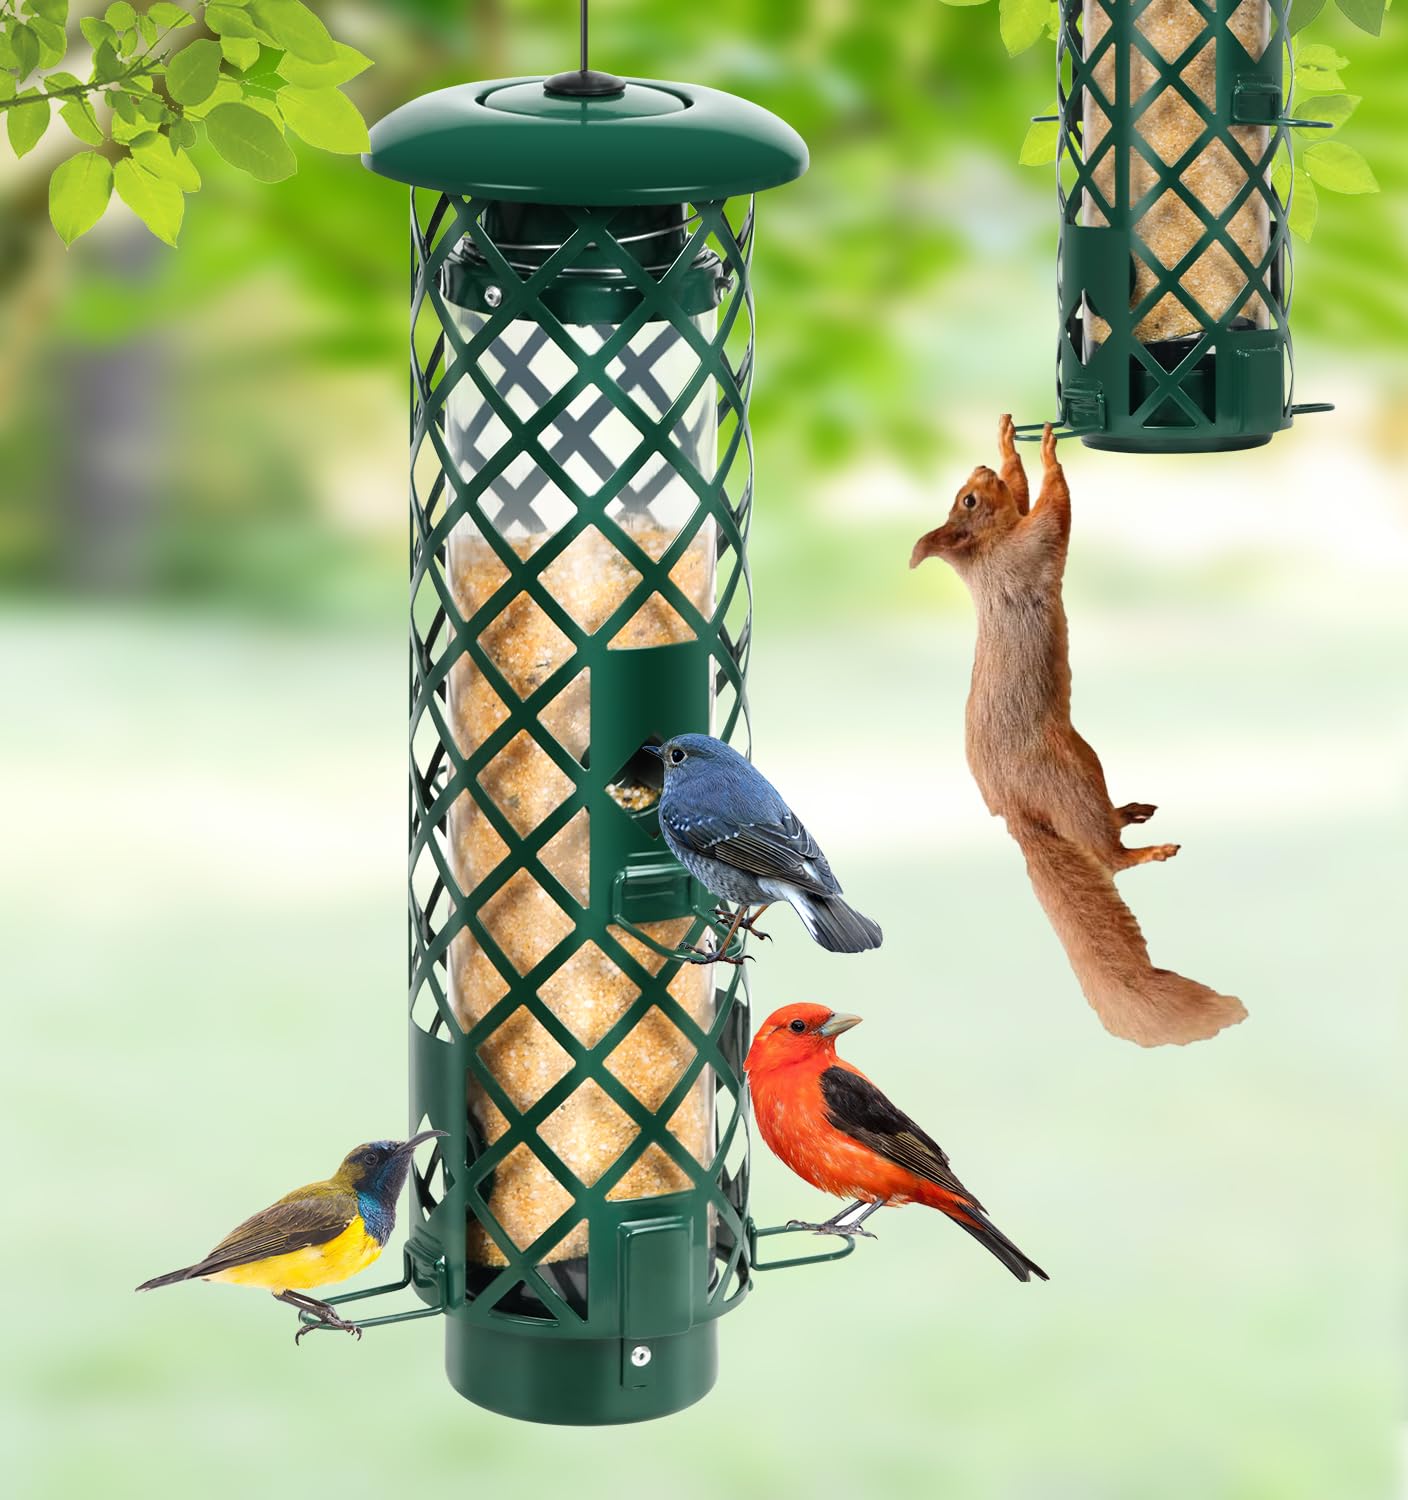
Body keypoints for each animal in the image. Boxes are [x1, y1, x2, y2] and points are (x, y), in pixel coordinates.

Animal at [909, 415, 1246, 1047]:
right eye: (968, 501)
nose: (979, 470)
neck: (985, 555)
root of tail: (1017, 811)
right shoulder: (1028, 548)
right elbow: (1053, 510)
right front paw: (1047, 453)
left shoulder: (1017, 534)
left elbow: (1022, 494)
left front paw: (1008, 442)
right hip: (1069, 773)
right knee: (1107, 858)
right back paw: (1147, 849)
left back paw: (1129, 811)